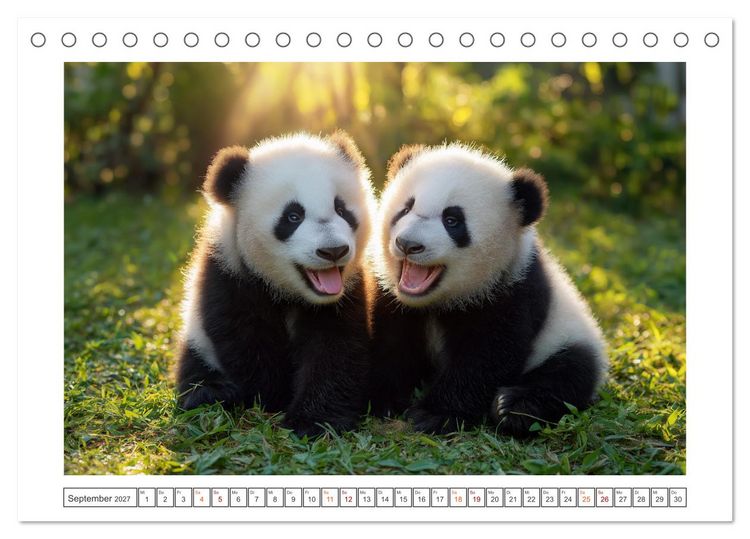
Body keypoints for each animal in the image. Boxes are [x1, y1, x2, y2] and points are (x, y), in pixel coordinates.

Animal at [176, 132, 376, 437]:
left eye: (342, 210)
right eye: (293, 216)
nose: (333, 250)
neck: (290, 291)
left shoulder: (347, 290)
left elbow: (335, 345)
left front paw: (313, 420)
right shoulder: (230, 272)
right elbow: (245, 338)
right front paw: (272, 397)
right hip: (197, 338)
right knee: (195, 367)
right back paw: (211, 394)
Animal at [368, 143, 608, 436]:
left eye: (452, 220)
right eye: (405, 209)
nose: (407, 244)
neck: (441, 301)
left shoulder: (512, 290)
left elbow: (487, 355)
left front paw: (433, 414)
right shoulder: (393, 298)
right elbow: (391, 344)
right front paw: (385, 400)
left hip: (566, 336)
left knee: (569, 373)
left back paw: (514, 407)